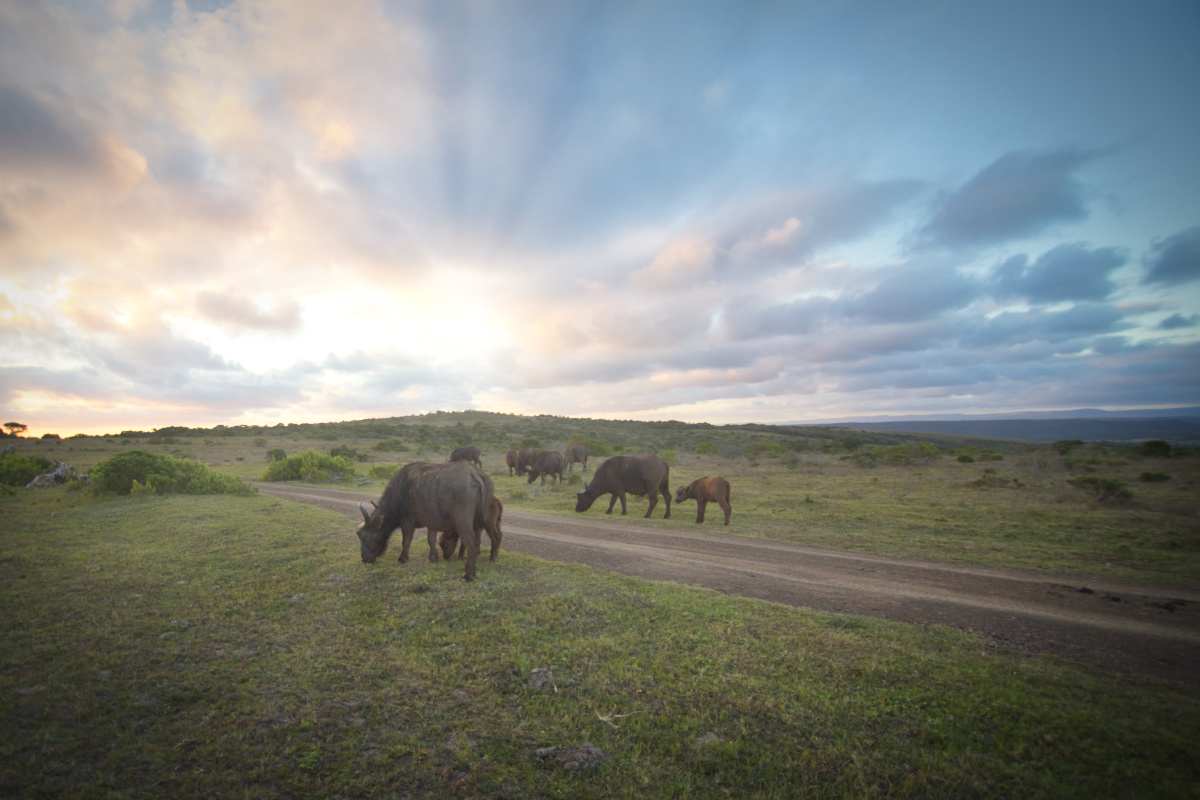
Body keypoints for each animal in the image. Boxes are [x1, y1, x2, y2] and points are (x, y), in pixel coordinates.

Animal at [352, 462, 494, 582]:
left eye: (363, 536)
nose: (364, 558)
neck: (401, 490)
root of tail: (474, 473)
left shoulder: (407, 521)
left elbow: (406, 541)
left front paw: (402, 558)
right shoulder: (432, 523)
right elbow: (431, 539)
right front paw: (433, 557)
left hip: (462, 522)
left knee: (472, 543)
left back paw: (468, 575)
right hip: (477, 523)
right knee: (477, 541)